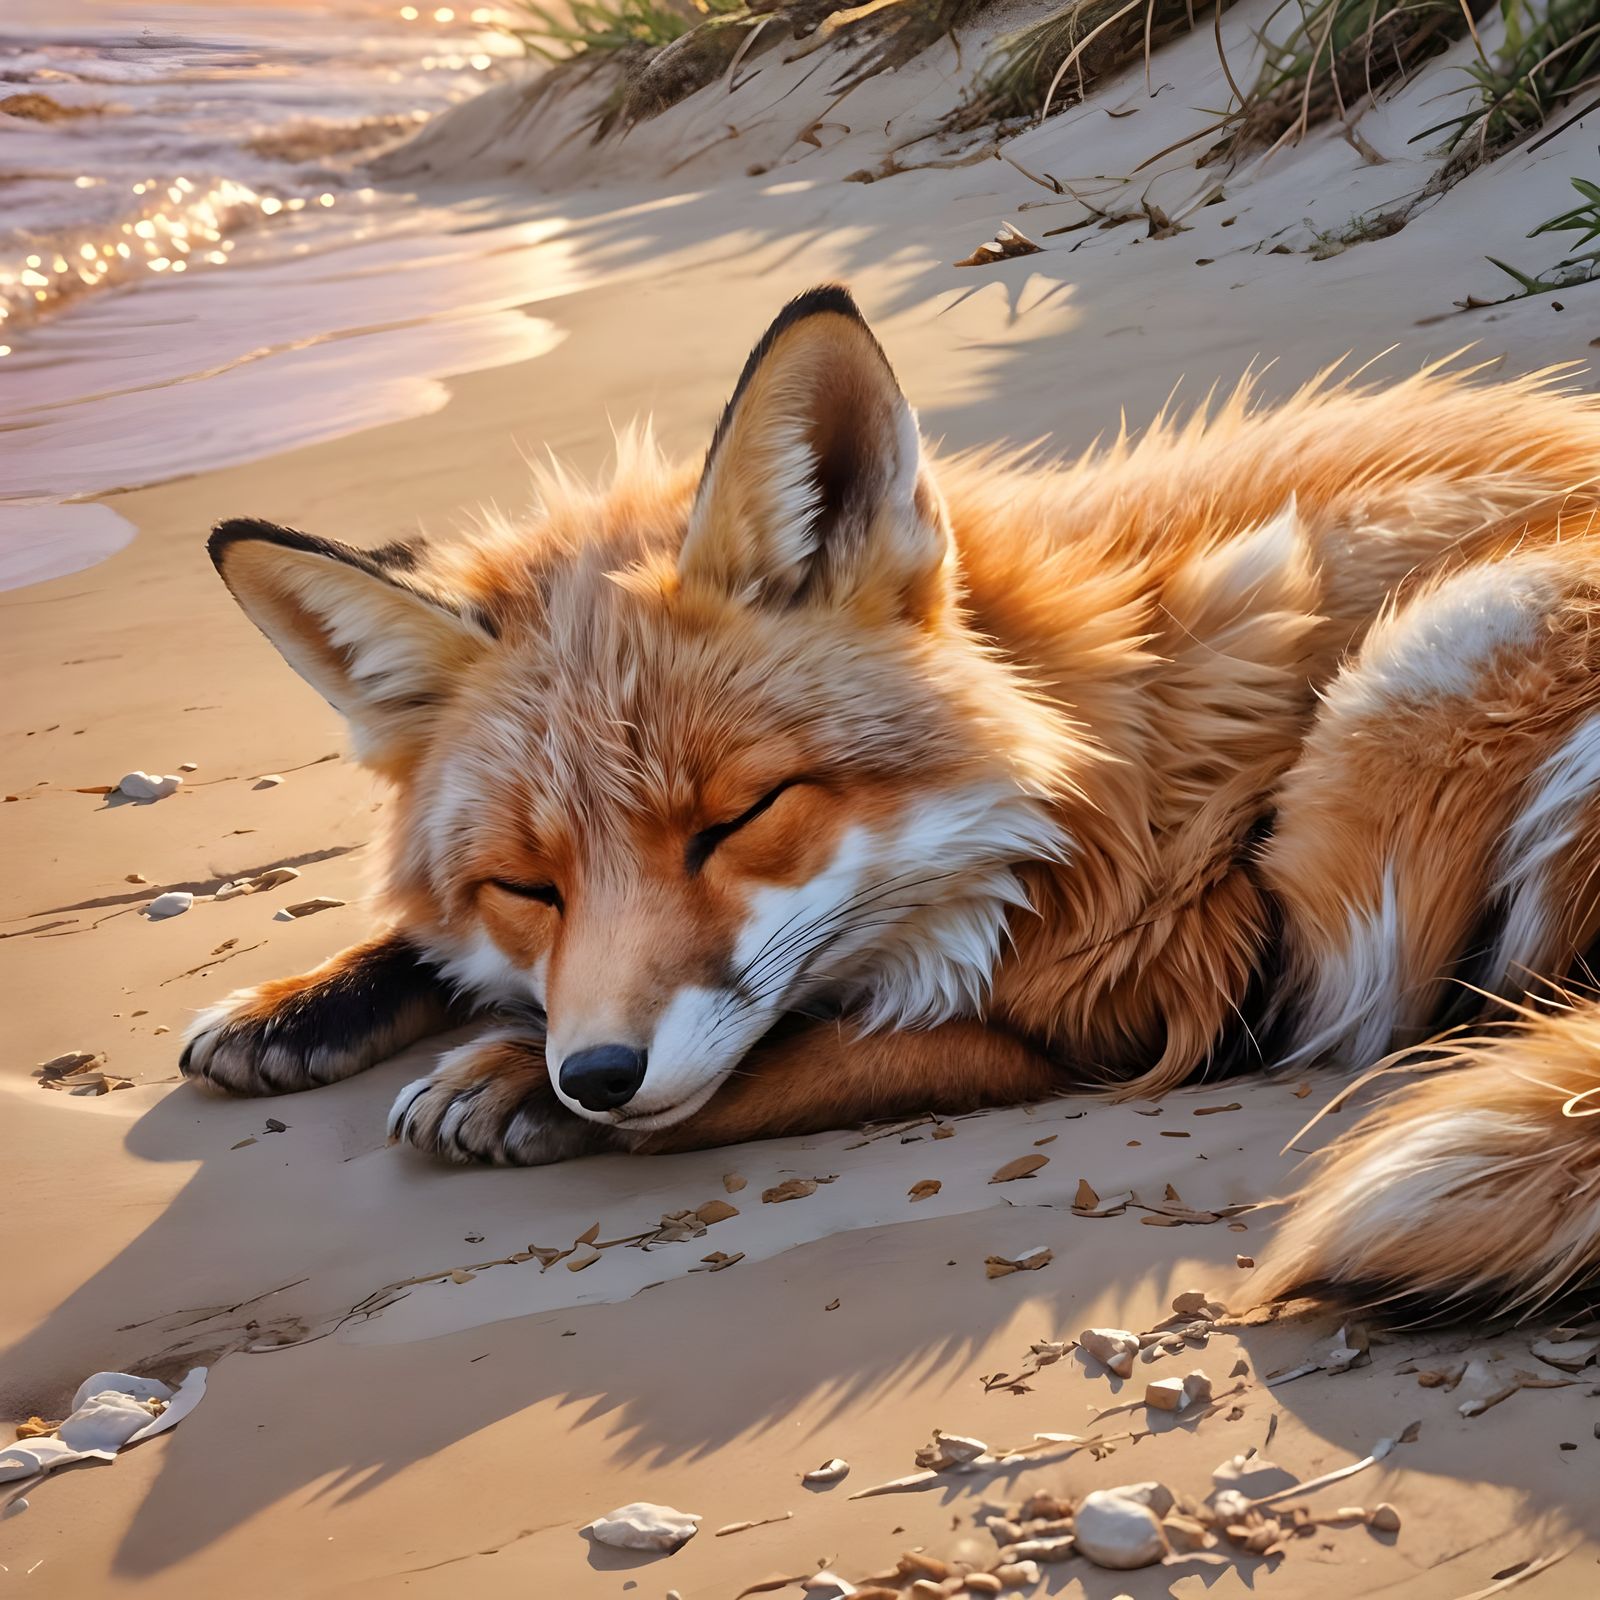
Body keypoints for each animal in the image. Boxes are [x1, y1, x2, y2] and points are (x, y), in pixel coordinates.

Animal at [186, 284, 1600, 1320]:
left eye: (738, 818)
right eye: (526, 886)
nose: (592, 1074)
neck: (1067, 720)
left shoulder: (1148, 973)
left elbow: (819, 1044)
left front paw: (514, 1080)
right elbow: (436, 946)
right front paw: (308, 1000)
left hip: (1406, 691)